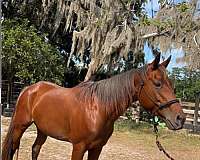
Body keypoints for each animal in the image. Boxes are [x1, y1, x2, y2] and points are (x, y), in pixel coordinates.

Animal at [1, 54, 186, 160]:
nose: (180, 118)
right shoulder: (78, 147)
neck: (99, 109)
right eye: (157, 83)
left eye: (172, 84)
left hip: (42, 129)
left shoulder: (97, 148)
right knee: (12, 149)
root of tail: (30, 88)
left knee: (35, 149)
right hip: (20, 126)